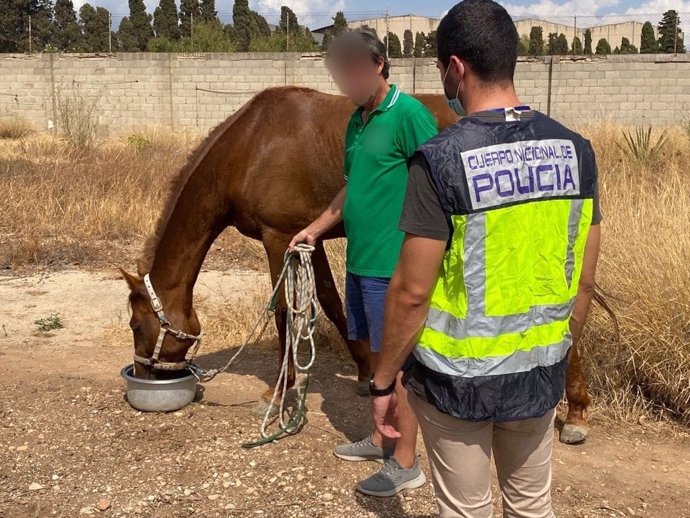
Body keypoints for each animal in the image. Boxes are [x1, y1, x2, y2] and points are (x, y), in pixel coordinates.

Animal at [119, 87, 592, 444]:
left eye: (137, 325)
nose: (142, 374)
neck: (251, 146)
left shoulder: (278, 239)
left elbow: (283, 315)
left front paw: (279, 393)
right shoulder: (306, 240)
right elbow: (331, 303)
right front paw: (365, 371)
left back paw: (575, 415)